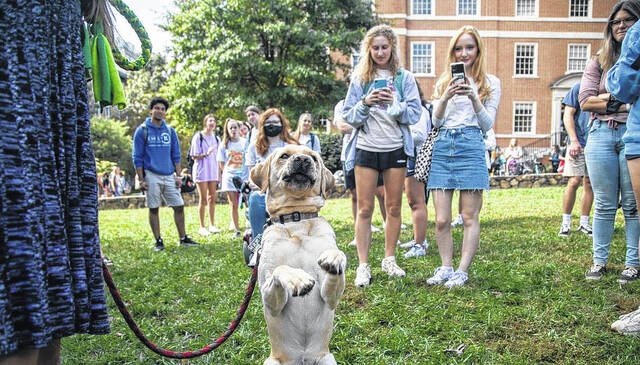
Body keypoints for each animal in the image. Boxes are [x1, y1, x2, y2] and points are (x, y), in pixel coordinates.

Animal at [251, 144, 350, 364]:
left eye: (314, 157)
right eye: (284, 155)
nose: (303, 160)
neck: (296, 220)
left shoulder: (330, 297)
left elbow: (337, 256)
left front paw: (334, 258)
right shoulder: (269, 300)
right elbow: (280, 269)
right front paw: (297, 279)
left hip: (327, 359)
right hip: (272, 361)